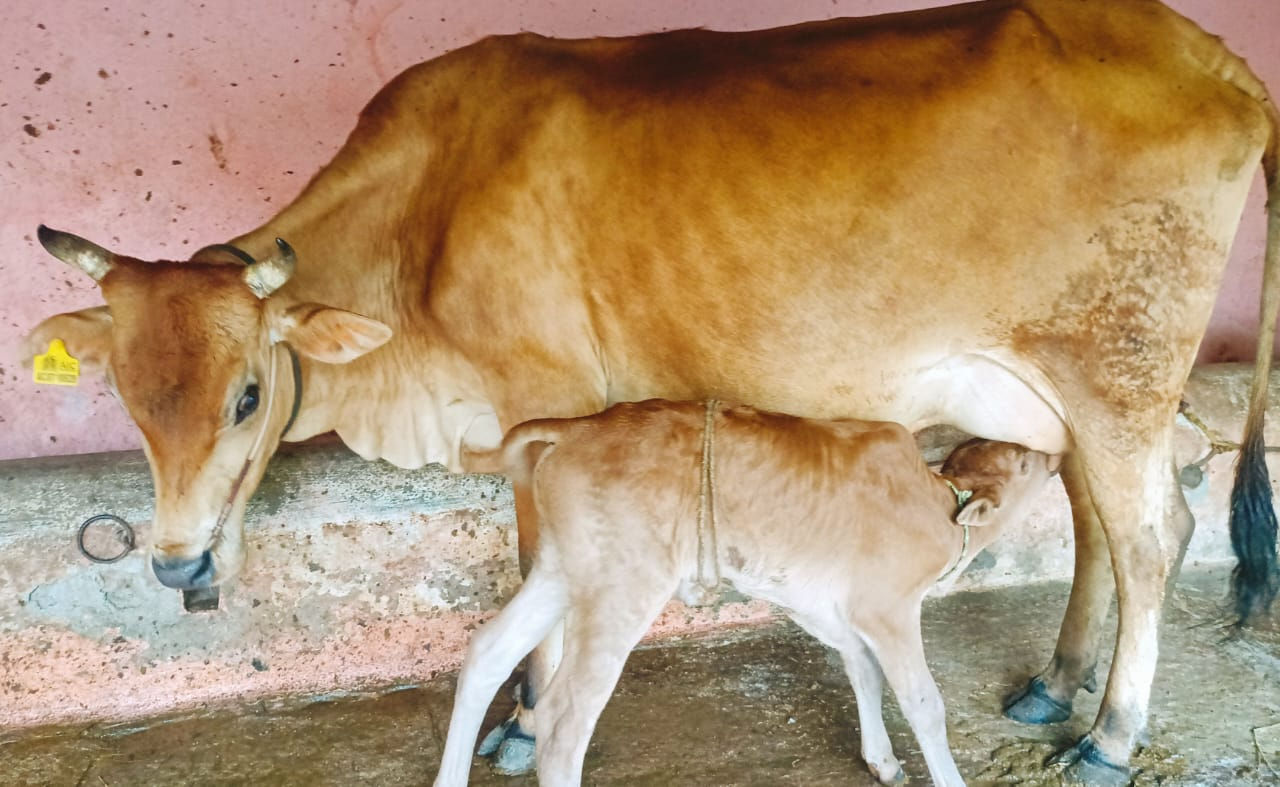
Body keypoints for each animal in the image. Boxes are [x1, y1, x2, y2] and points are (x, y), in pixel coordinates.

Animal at [432, 400, 1060, 787]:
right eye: (1024, 461)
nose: (1056, 453)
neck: (941, 508)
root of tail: (582, 424)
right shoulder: (888, 608)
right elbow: (925, 704)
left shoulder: (842, 615)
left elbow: (865, 676)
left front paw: (882, 761)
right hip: (622, 587)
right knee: (563, 722)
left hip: (562, 570)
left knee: (487, 652)